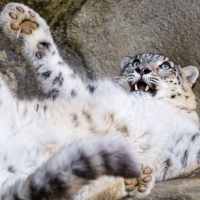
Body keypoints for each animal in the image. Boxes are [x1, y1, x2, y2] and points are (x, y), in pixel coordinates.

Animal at [0, 1, 199, 200]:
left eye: (165, 66)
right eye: (135, 62)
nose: (142, 69)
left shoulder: (178, 147)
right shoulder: (84, 94)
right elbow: (56, 71)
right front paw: (25, 24)